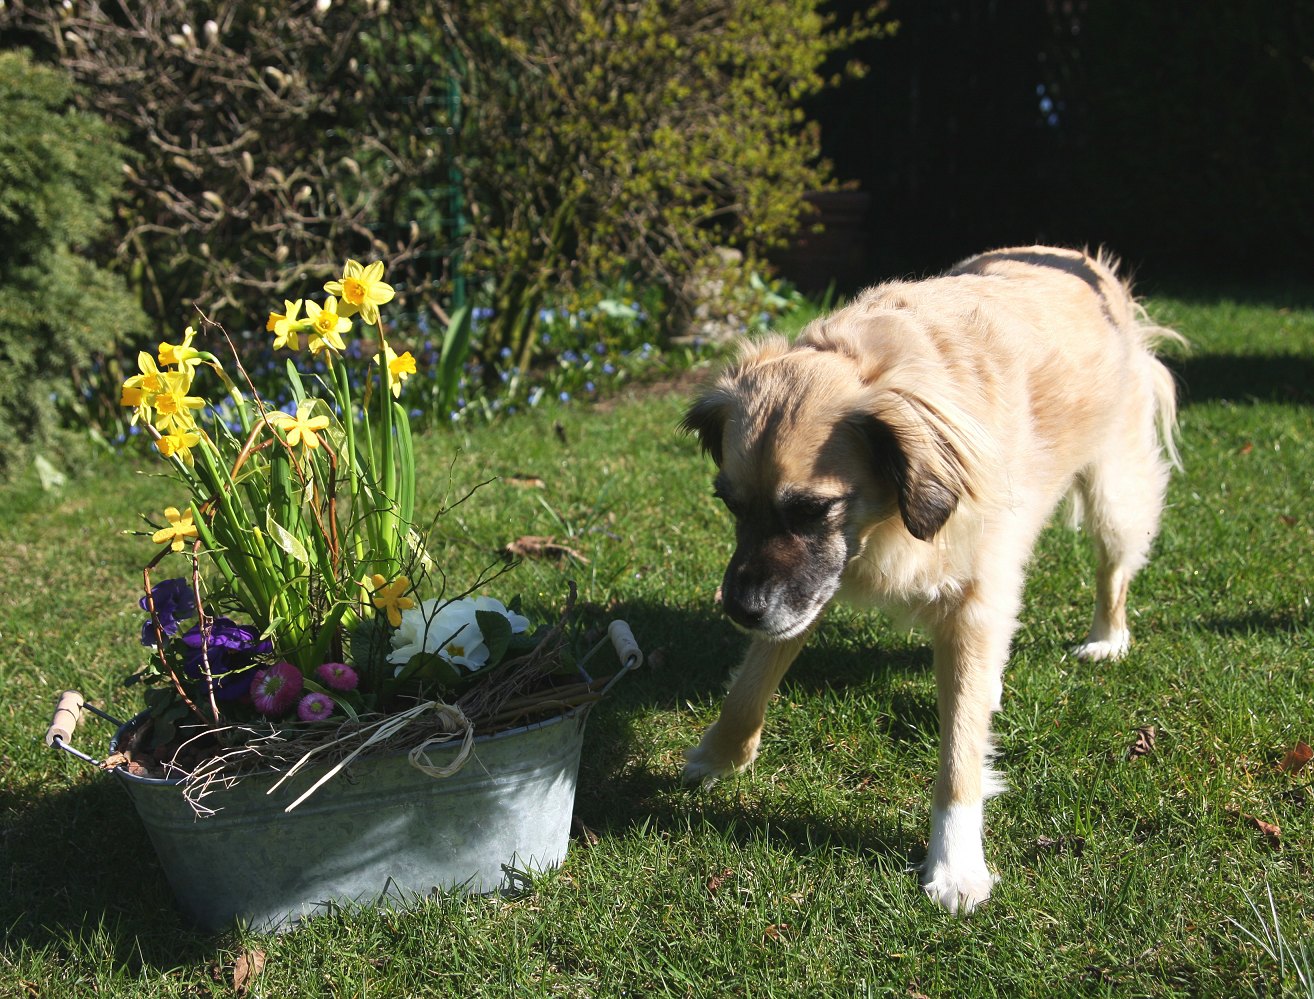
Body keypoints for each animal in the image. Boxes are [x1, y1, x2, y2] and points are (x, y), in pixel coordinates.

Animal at [678, 244, 1182, 914]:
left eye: (812, 509)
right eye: (730, 503)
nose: (739, 609)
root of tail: (1082, 261)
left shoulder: (969, 596)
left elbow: (959, 759)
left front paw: (955, 863)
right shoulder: (813, 583)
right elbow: (751, 681)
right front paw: (720, 755)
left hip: (1114, 492)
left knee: (1112, 568)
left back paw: (1106, 637)